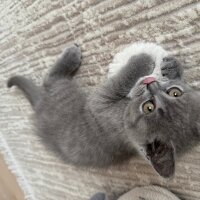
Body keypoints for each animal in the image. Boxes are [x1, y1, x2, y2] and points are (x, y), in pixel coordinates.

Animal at [6, 42, 200, 178]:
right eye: (175, 92)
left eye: (148, 107)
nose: (151, 83)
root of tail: (39, 106)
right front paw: (172, 68)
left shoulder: (100, 104)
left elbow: (118, 82)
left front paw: (142, 59)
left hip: (61, 91)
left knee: (51, 78)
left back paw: (70, 55)